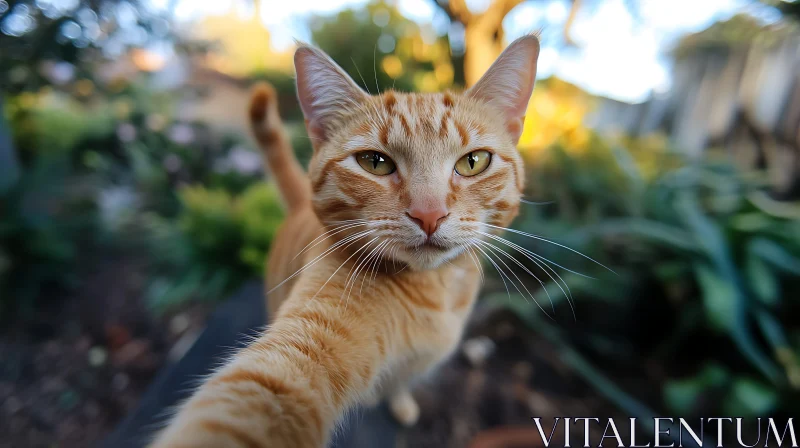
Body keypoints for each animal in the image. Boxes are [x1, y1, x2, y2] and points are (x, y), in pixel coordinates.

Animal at [150, 33, 536, 446]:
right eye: (375, 163)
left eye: (473, 162)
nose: (429, 214)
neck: (438, 291)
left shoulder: (416, 364)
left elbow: (399, 383)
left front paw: (400, 403)